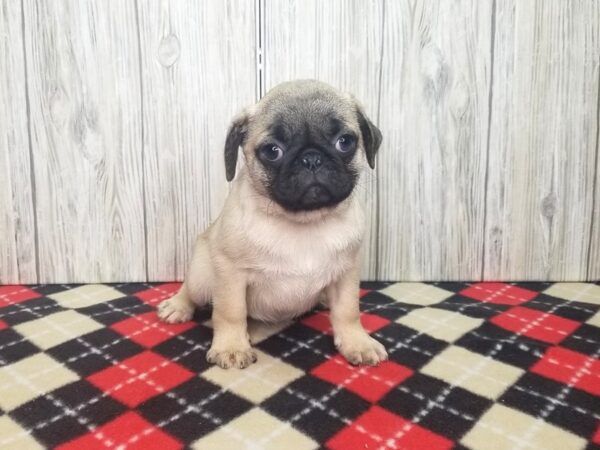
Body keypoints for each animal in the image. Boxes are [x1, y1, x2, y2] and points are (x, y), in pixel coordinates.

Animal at [157, 80, 386, 370]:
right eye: (273, 151)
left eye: (344, 142)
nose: (312, 158)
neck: (303, 222)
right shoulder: (230, 272)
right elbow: (230, 312)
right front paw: (231, 347)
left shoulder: (347, 273)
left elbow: (348, 311)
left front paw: (358, 342)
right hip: (202, 275)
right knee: (191, 289)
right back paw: (178, 306)